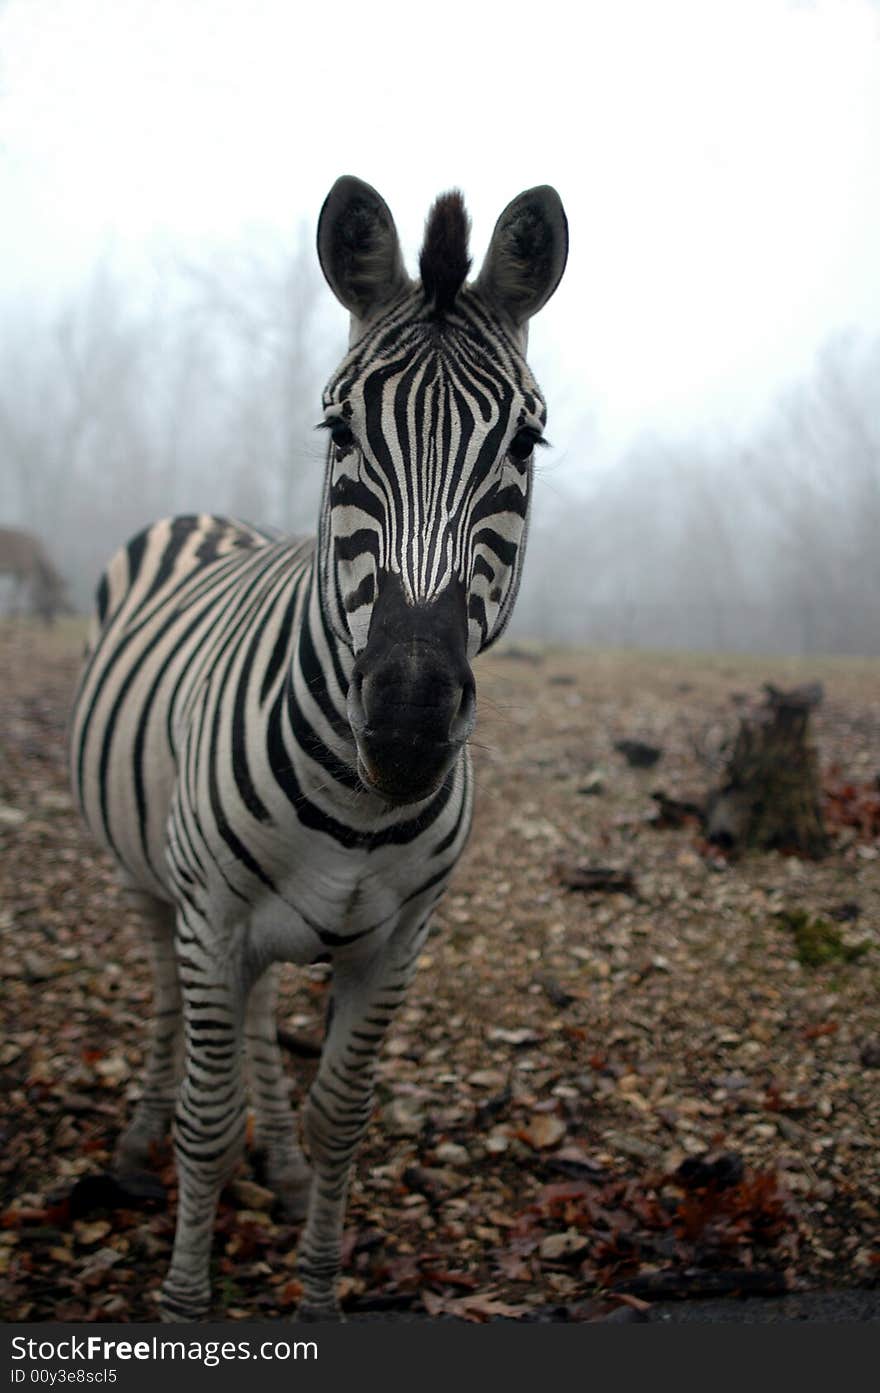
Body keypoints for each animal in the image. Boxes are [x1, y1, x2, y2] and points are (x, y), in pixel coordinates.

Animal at [67, 174, 562, 1314]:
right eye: (338, 428)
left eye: (526, 445)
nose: (410, 721)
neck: (362, 806)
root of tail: (206, 516)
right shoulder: (210, 914)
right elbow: (208, 1126)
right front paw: (186, 1303)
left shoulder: (396, 942)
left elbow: (344, 1118)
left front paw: (322, 1286)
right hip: (156, 885)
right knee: (167, 1007)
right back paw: (136, 1142)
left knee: (252, 1023)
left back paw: (282, 1167)